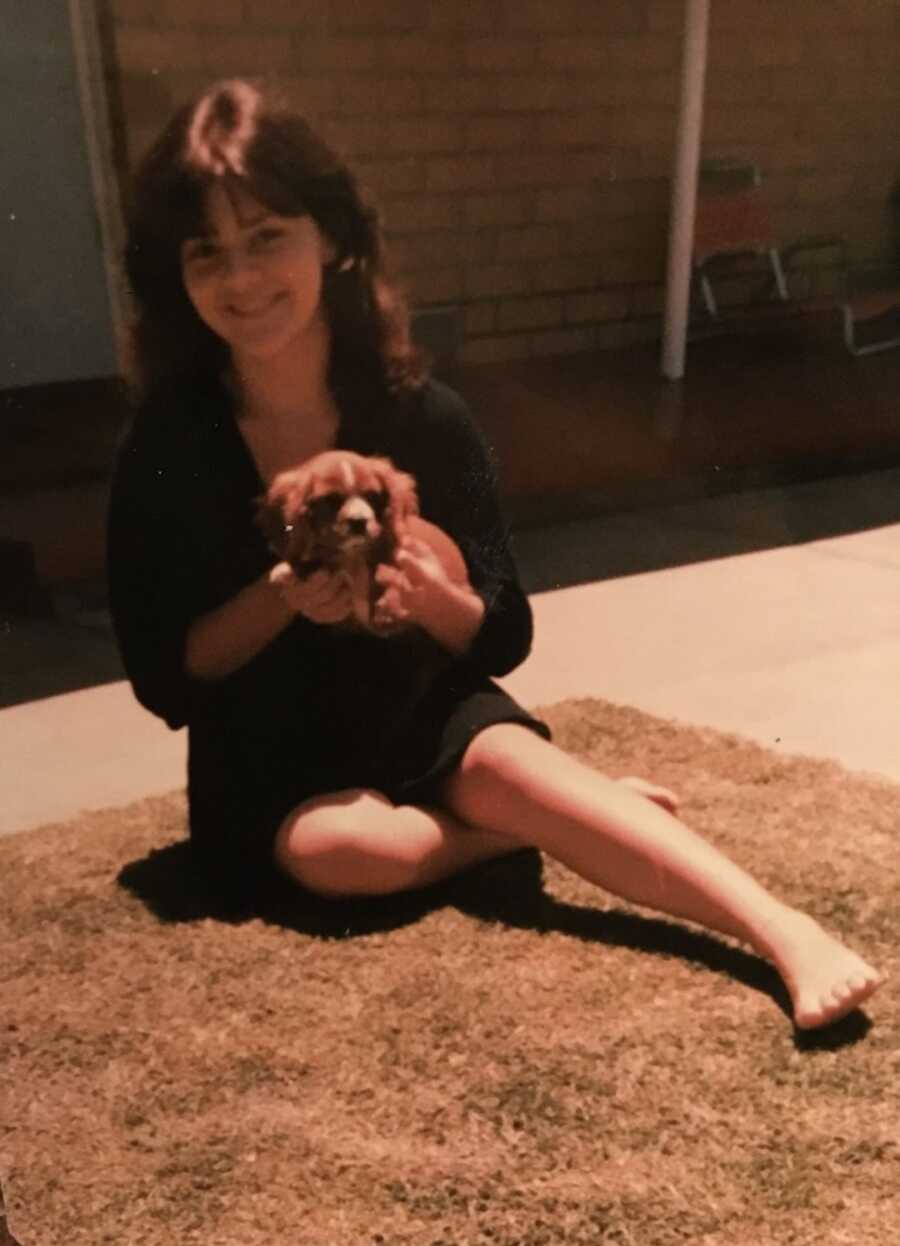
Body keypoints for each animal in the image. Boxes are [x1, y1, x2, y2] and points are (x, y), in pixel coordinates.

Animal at [251, 451, 463, 632]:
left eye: (372, 496)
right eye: (330, 500)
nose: (359, 521)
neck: (353, 553)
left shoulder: (398, 551)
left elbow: (386, 569)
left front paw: (386, 606)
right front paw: (291, 569)